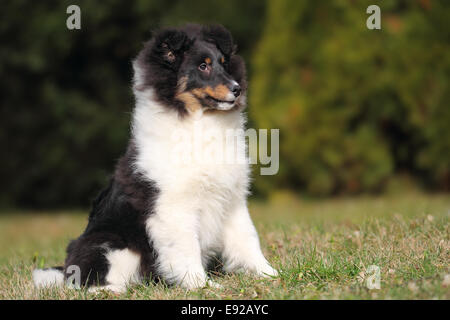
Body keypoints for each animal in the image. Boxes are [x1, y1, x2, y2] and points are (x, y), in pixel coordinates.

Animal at [31, 23, 276, 292]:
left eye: (224, 63)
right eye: (203, 66)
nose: (237, 89)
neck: (199, 122)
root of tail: (66, 268)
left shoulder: (232, 199)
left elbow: (247, 239)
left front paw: (270, 274)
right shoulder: (174, 206)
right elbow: (187, 249)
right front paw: (203, 286)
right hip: (112, 246)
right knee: (90, 281)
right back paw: (115, 291)